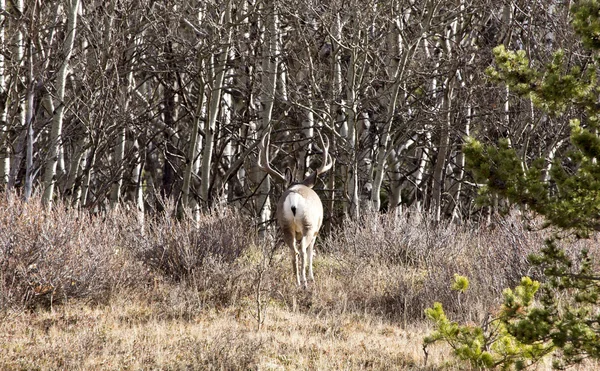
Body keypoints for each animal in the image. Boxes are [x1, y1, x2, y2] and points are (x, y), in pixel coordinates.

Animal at [256, 129, 332, 290]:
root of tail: (294, 198)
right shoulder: (316, 230)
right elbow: (311, 253)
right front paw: (311, 278)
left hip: (285, 224)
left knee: (293, 251)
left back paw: (297, 282)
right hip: (308, 224)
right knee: (303, 250)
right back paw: (304, 283)